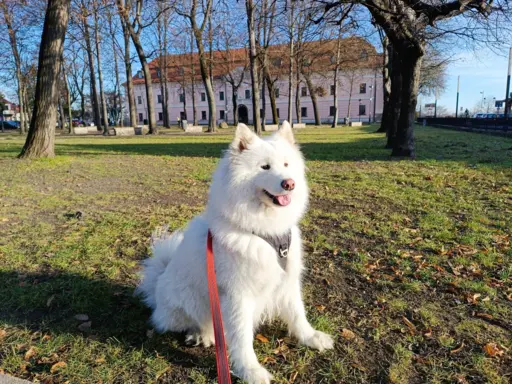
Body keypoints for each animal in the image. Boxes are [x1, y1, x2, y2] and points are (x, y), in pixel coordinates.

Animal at [138, 122, 334, 384]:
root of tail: (158, 280)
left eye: (286, 165)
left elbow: (297, 313)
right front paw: (250, 370)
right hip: (190, 299)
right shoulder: (237, 295)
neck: (265, 232)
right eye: (265, 167)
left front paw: (311, 337)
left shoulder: (288, 280)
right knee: (194, 322)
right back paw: (203, 335)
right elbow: (242, 338)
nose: (289, 183)